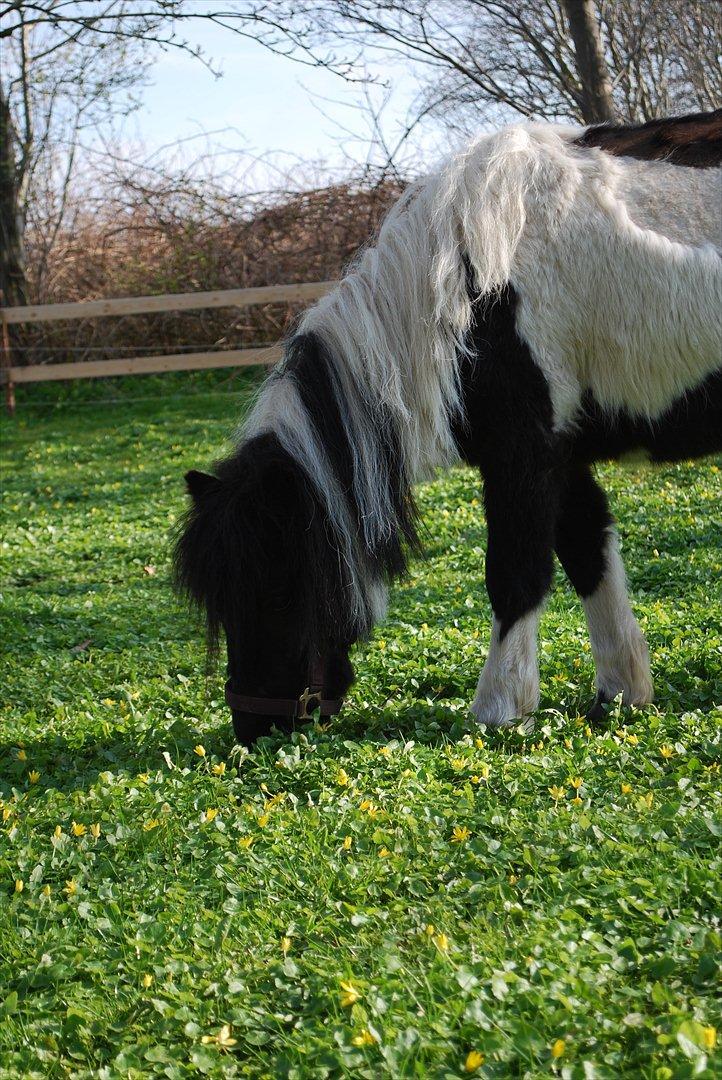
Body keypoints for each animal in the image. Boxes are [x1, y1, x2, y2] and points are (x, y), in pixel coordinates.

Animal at [174, 113, 720, 747]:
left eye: (279, 583)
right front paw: (621, 691)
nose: (254, 726)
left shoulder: (522, 454)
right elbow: (588, 553)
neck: (469, 292)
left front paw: (500, 707)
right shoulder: (564, 453)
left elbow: (515, 574)